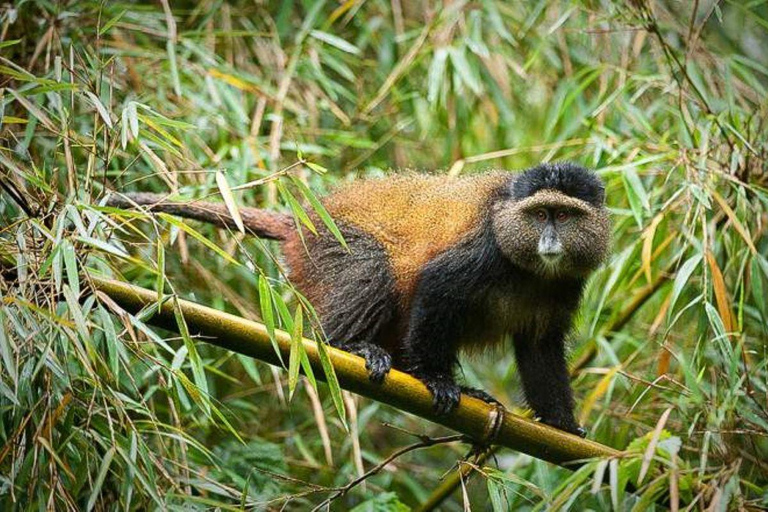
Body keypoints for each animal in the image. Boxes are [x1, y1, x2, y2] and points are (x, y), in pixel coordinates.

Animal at [109, 162, 612, 434]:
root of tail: (304, 220)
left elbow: (540, 348)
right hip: (333, 250)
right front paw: (436, 379)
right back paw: (350, 346)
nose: (550, 240)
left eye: (565, 216)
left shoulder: (566, 287)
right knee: (371, 269)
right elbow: (437, 287)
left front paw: (563, 428)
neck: (531, 268)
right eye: (541, 214)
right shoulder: (483, 250)